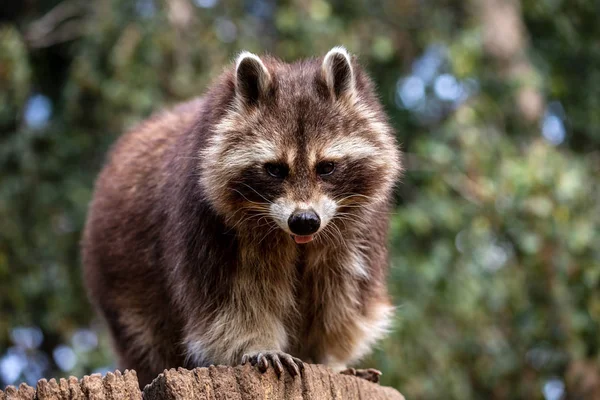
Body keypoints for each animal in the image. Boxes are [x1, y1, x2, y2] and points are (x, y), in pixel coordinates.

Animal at [82, 47, 400, 388]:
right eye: (275, 169)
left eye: (326, 167)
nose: (304, 220)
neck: (291, 237)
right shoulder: (208, 228)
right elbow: (233, 303)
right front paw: (258, 345)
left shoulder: (356, 238)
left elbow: (339, 303)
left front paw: (328, 358)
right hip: (122, 280)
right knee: (146, 337)